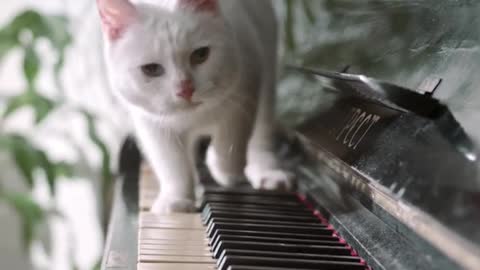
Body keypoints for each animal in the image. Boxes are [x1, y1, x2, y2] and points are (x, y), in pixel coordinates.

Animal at [96, 0, 292, 213]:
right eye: (151, 69)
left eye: (200, 55)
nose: (186, 89)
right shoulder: (151, 123)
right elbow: (173, 164)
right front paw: (176, 199)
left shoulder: (247, 88)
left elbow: (231, 139)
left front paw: (224, 170)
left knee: (261, 131)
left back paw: (268, 172)